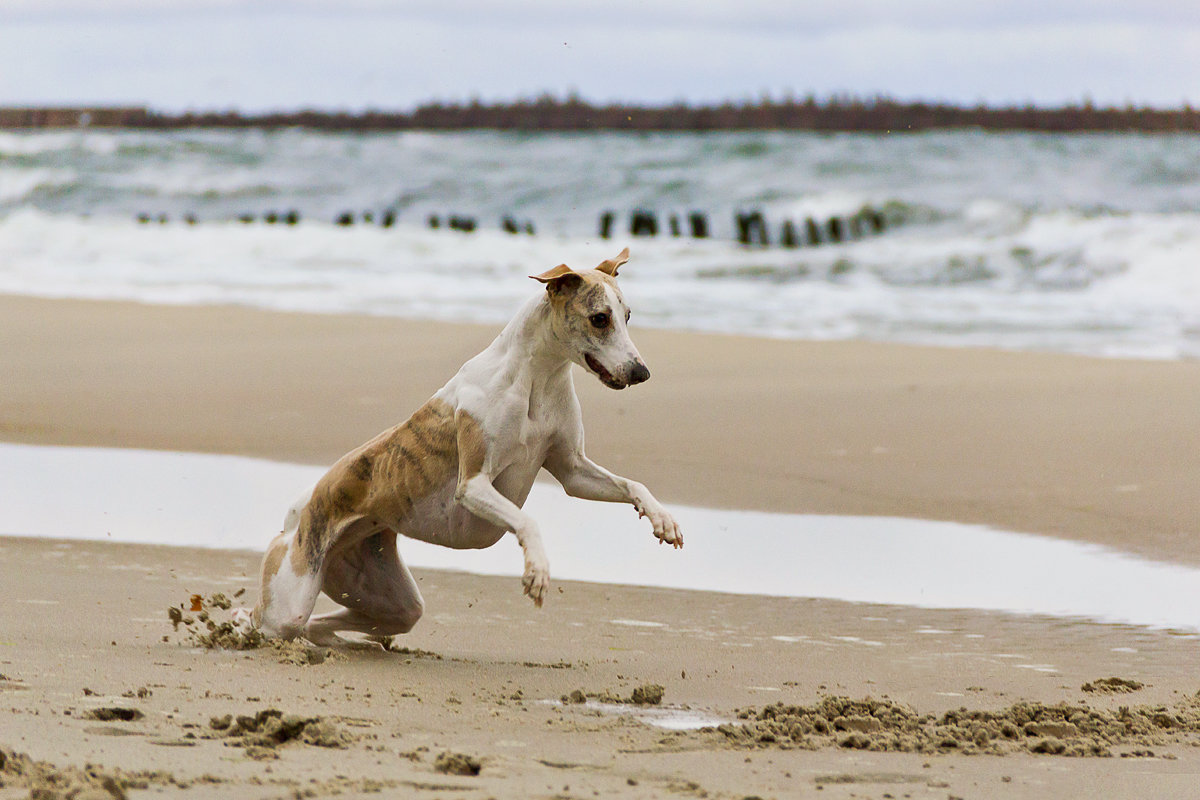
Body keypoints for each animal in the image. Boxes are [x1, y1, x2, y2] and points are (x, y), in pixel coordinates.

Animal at [238, 247, 686, 647]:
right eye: (599, 319)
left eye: (627, 317)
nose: (641, 372)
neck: (536, 379)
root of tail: (298, 510)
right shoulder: (473, 485)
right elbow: (528, 521)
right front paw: (537, 571)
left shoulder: (573, 470)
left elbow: (632, 485)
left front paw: (663, 521)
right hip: (292, 595)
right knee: (266, 618)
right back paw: (242, 625)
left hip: (385, 594)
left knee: (335, 623)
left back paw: (350, 642)